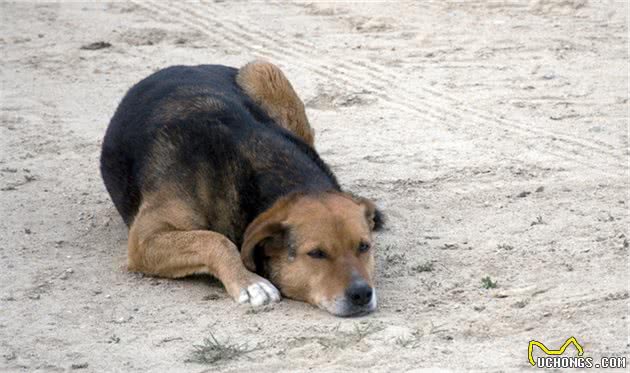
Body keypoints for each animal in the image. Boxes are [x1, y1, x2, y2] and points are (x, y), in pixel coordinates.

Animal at [101, 61, 382, 316]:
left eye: (364, 247)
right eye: (316, 253)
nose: (361, 294)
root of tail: (185, 65)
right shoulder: (144, 239)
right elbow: (216, 240)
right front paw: (249, 281)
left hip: (265, 70)